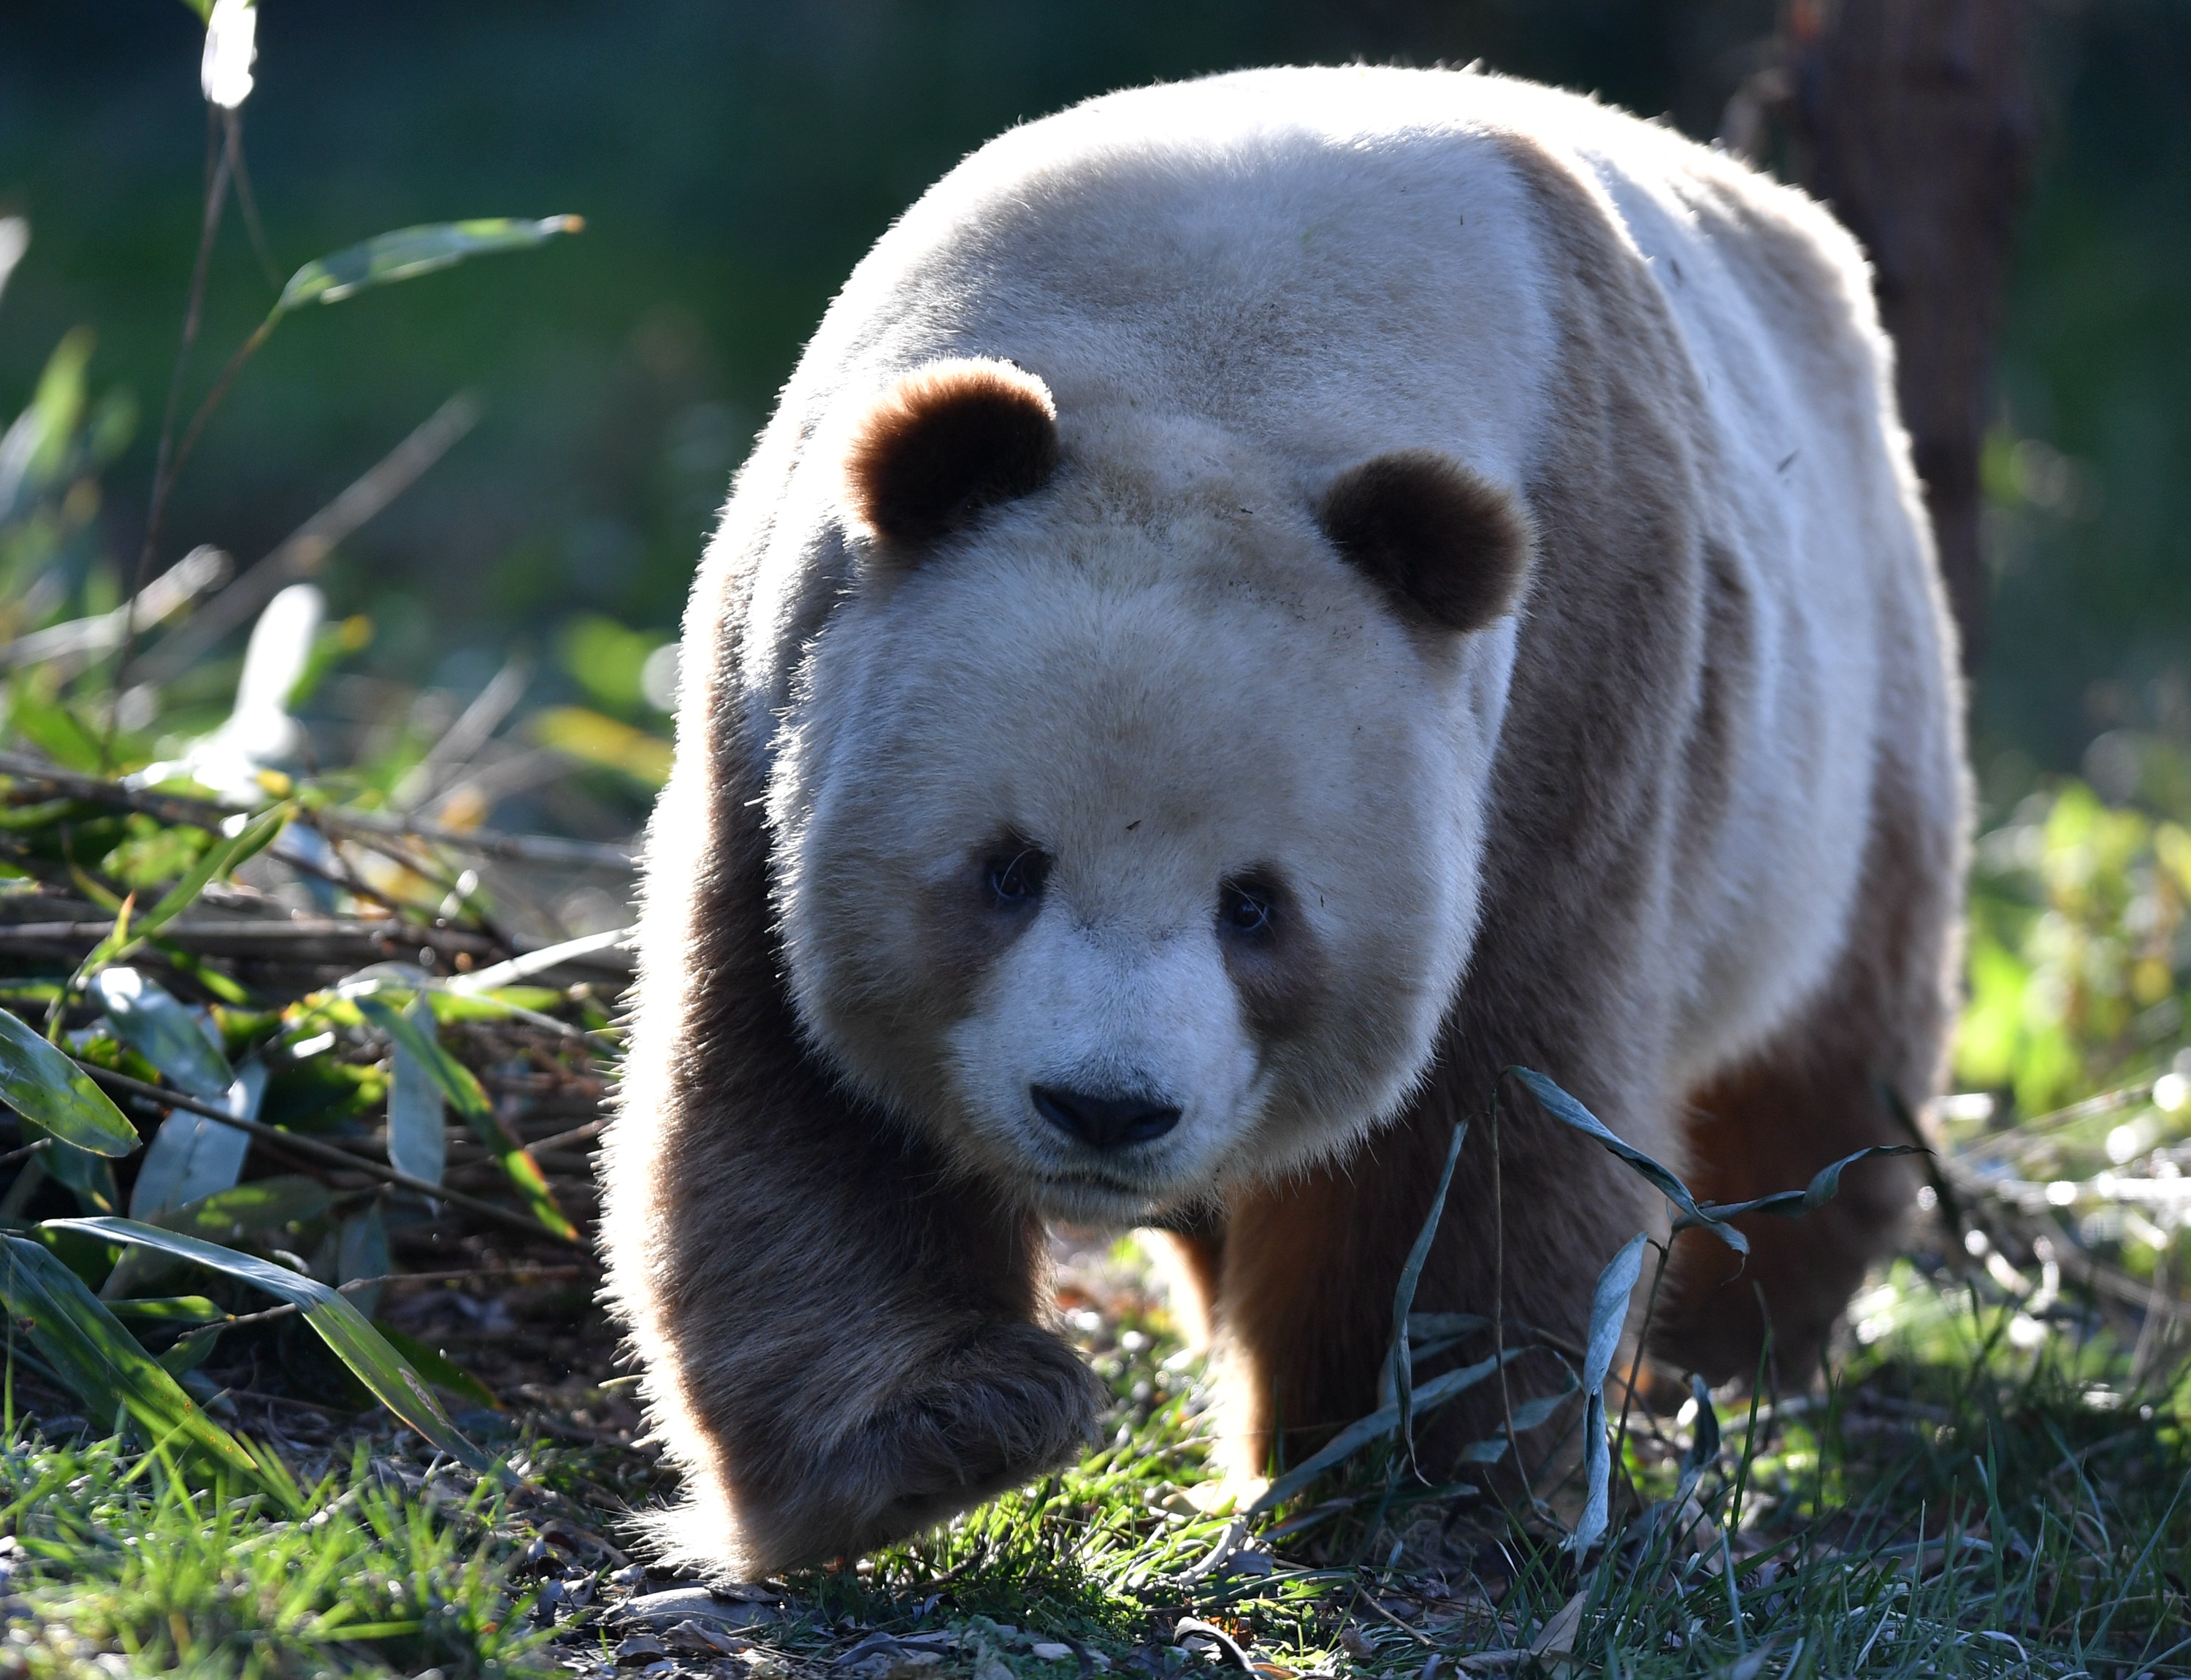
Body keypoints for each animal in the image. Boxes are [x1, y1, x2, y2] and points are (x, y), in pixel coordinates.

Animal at [596, 62, 1972, 1577]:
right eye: (1006, 872)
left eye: (1255, 905)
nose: (1104, 1107)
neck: (1221, 361)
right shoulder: (786, 689)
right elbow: (793, 1102)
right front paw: (939, 1434)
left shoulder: (1569, 691)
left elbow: (1481, 1126)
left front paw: (1401, 1466)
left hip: (1857, 698)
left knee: (1826, 1064)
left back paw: (1729, 1348)